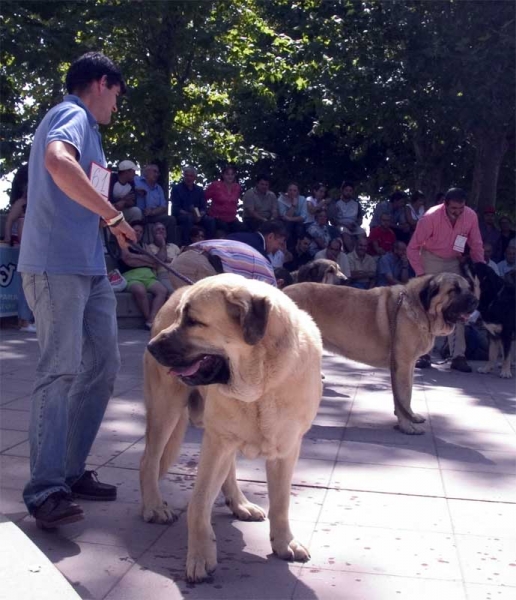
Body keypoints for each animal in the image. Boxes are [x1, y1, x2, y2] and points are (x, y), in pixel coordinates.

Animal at [284, 274, 478, 434]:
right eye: (454, 290)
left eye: (468, 288)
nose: (476, 301)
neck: (419, 310)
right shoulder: (403, 365)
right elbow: (404, 395)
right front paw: (407, 426)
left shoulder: (409, 366)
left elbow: (406, 395)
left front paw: (410, 416)